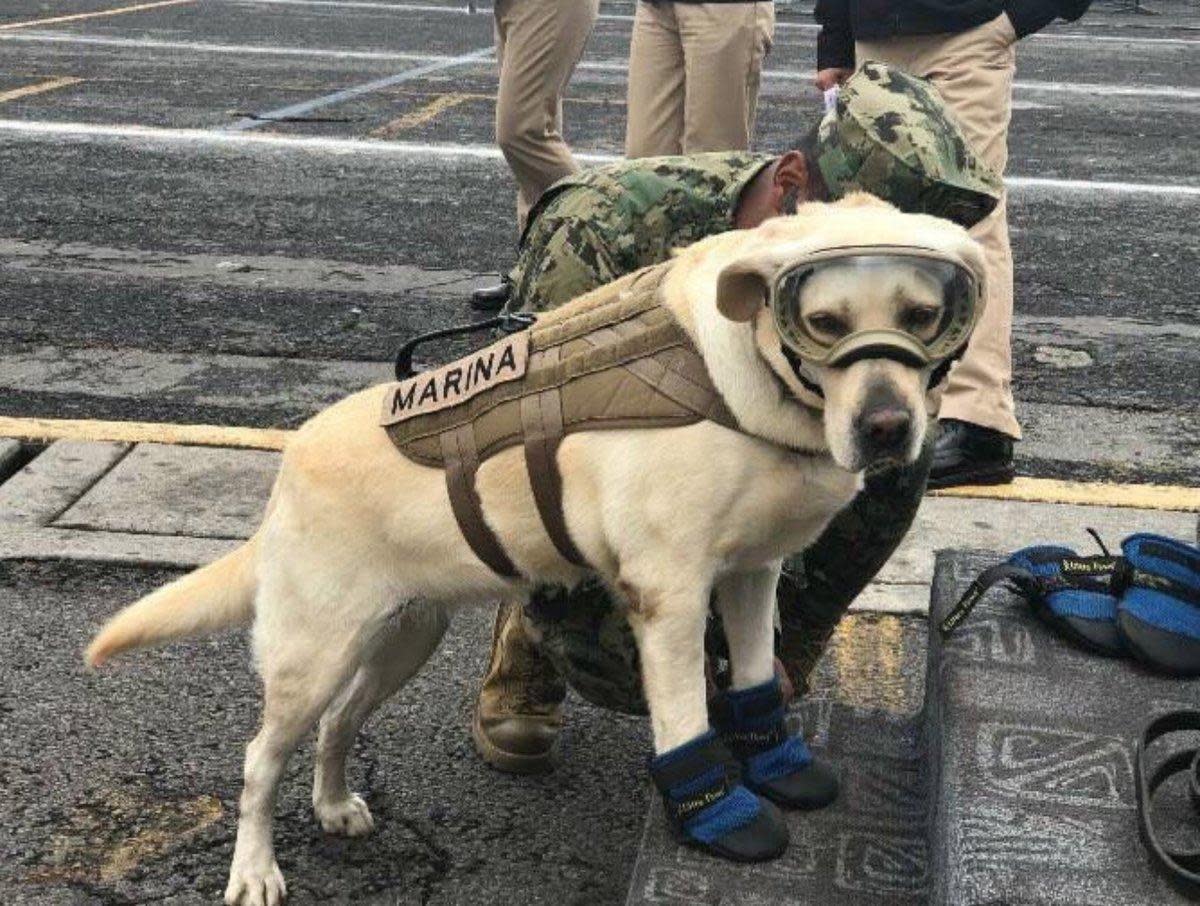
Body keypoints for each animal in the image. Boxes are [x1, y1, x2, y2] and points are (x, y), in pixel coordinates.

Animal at [82, 194, 984, 902]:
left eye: (924, 317)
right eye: (825, 323)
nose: (888, 429)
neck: (744, 379)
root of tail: (286, 474)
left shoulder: (752, 575)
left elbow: (756, 680)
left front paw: (780, 765)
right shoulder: (669, 597)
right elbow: (687, 717)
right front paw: (718, 815)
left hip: (402, 637)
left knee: (339, 723)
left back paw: (335, 805)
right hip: (314, 654)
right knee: (258, 761)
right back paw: (254, 868)